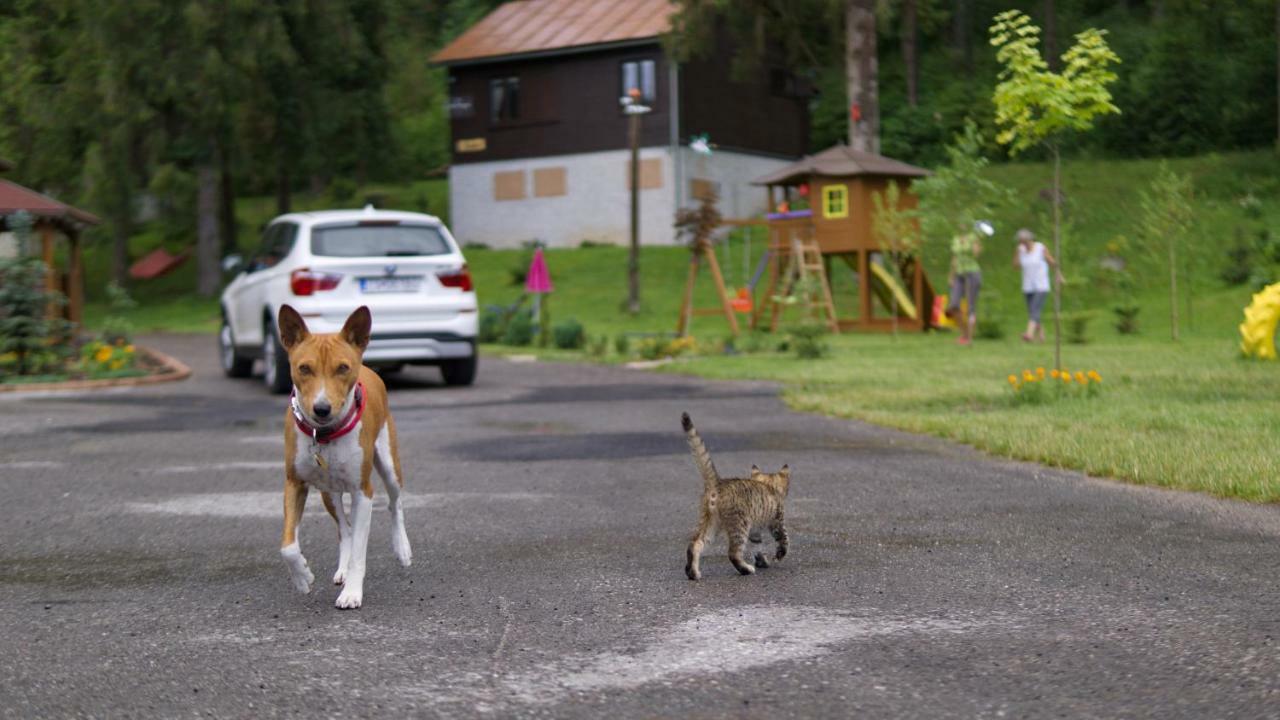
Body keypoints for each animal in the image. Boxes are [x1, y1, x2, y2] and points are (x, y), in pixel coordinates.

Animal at [277, 301, 412, 604]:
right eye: (304, 368)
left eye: (342, 368)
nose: (321, 408)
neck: (324, 435)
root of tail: (369, 369)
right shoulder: (294, 483)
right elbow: (288, 546)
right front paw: (302, 577)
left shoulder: (362, 491)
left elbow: (360, 553)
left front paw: (351, 593)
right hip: (329, 493)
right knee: (344, 529)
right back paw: (341, 568)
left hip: (389, 464)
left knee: (394, 503)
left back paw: (402, 548)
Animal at [680, 409, 788, 576]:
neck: (768, 485)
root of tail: (717, 483)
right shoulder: (777, 520)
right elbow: (784, 538)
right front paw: (779, 555)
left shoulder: (755, 532)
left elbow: (758, 547)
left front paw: (762, 561)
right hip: (740, 524)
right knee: (733, 553)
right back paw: (746, 569)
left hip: (710, 522)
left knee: (695, 543)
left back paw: (693, 573)